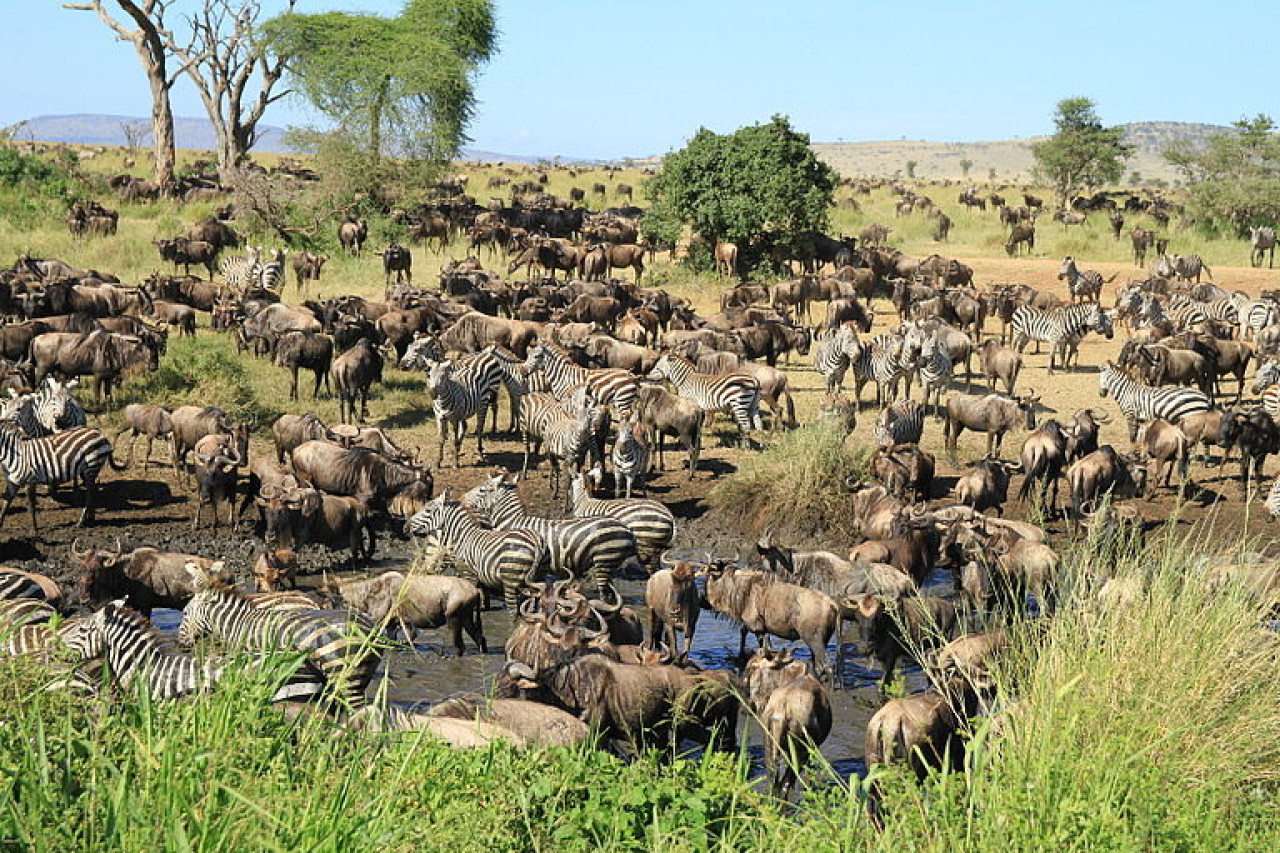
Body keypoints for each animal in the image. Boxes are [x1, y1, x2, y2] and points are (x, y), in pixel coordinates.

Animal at [406, 492, 546, 615]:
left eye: (428, 510)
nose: (405, 527)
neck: (462, 537)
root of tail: (536, 540)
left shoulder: (469, 574)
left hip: (511, 579)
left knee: (513, 610)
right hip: (536, 577)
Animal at [462, 473, 639, 597]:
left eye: (482, 490)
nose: (461, 499)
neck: (513, 522)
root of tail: (625, 527)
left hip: (604, 559)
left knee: (604, 594)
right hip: (607, 562)